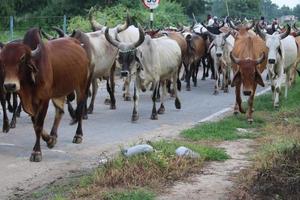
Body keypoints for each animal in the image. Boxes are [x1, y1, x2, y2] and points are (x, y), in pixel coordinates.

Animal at [0, 29, 91, 161]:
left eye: (22, 58)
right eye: (2, 61)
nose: (9, 85)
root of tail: (79, 44)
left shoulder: (44, 99)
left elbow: (38, 124)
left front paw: (36, 152)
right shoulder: (29, 102)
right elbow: (35, 123)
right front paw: (49, 139)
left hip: (81, 86)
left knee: (80, 108)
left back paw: (78, 135)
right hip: (59, 90)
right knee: (60, 111)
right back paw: (54, 135)